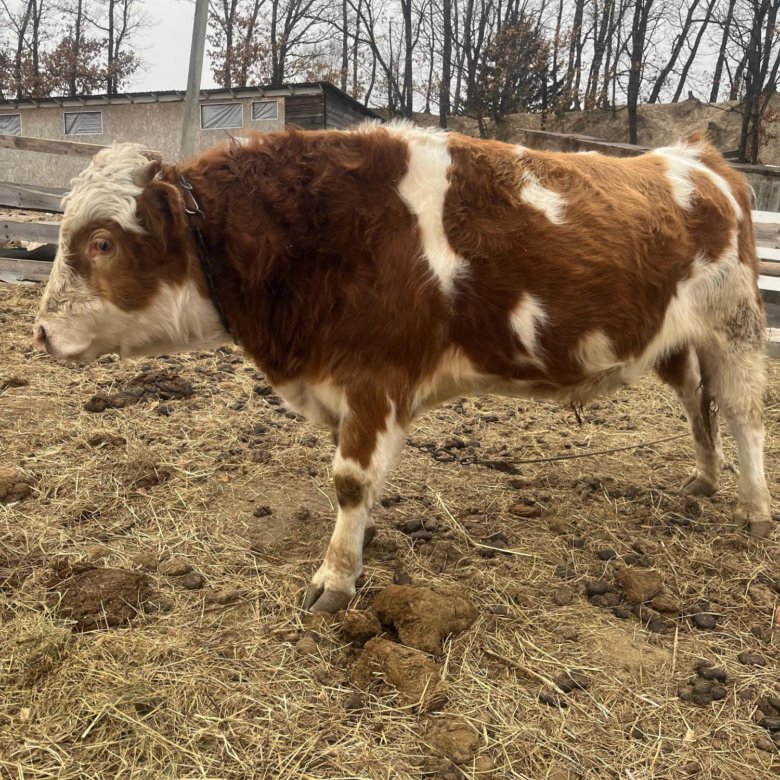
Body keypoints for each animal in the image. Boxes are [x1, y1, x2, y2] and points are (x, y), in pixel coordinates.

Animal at [33, 123, 774, 612]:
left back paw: (756, 509)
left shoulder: (375, 378)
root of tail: (697, 158)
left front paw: (335, 578)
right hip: (678, 342)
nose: (39, 332)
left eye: (102, 242)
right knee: (698, 403)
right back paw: (704, 480)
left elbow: (350, 479)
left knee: (743, 415)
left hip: (736, 327)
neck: (313, 234)